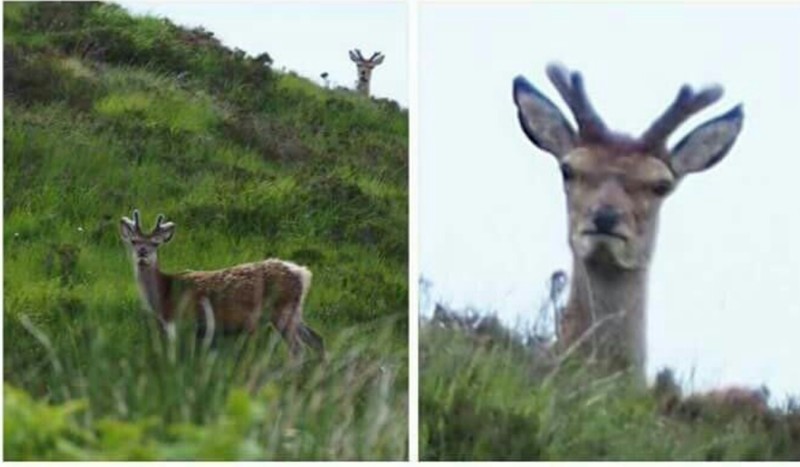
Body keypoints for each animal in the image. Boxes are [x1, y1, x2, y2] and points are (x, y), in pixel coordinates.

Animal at [117, 210, 324, 356]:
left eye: (156, 243)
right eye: (134, 241)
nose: (142, 253)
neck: (165, 294)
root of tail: (302, 273)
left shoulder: (185, 323)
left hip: (282, 309)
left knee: (298, 349)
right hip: (294, 311)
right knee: (317, 339)